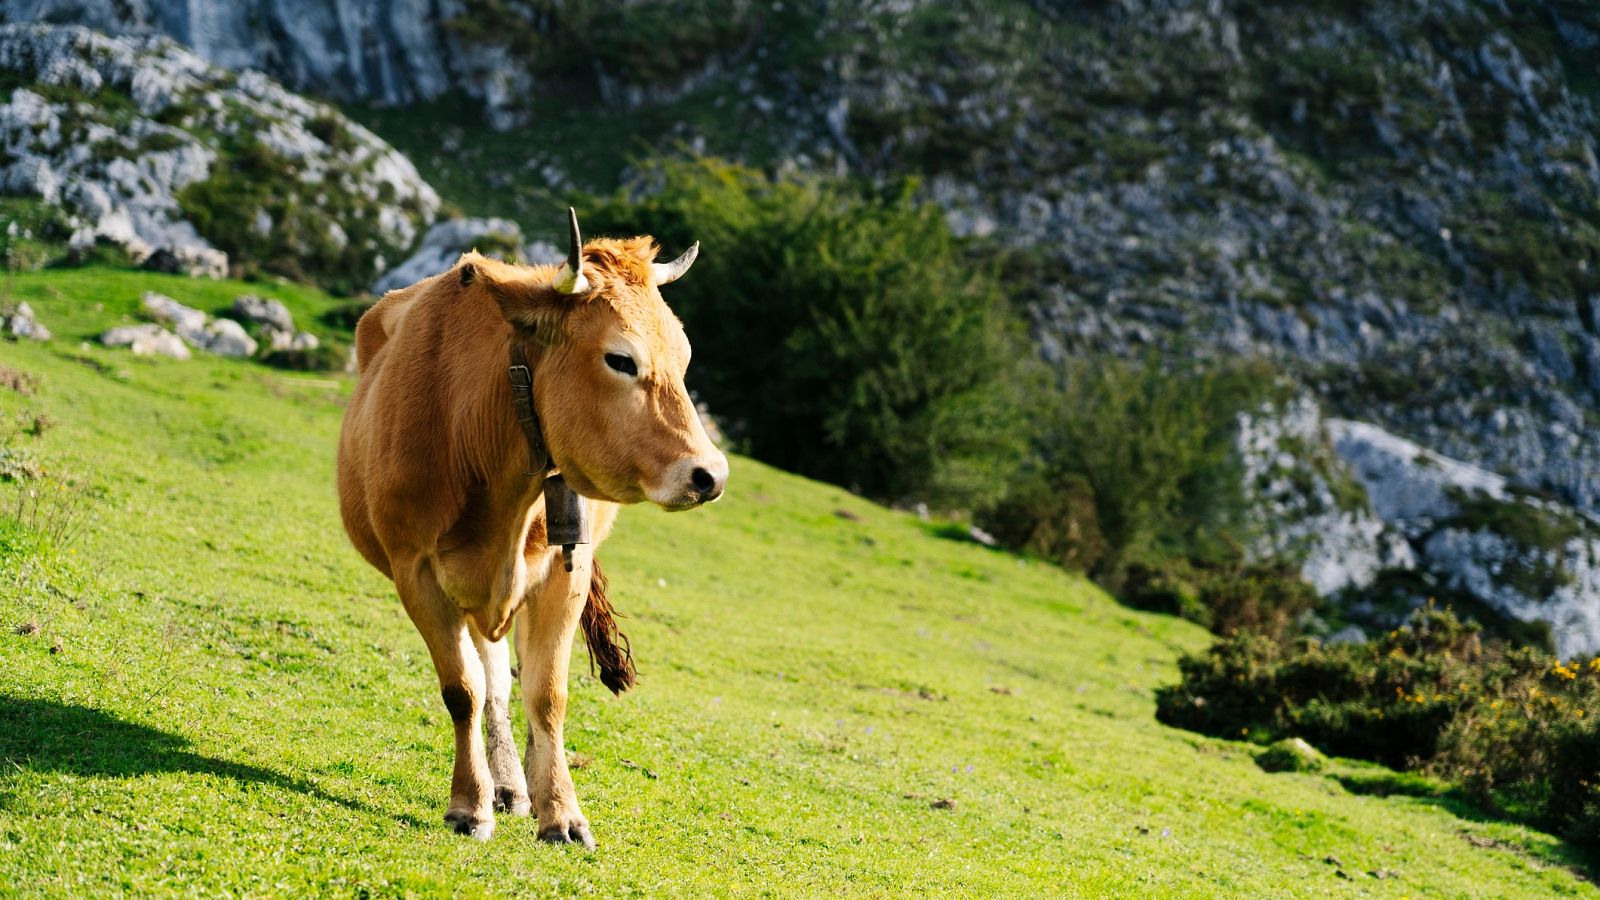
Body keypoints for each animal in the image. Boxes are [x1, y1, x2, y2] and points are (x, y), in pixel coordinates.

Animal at [337, 209, 728, 846]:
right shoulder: (414, 570)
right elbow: (463, 691)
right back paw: (503, 785)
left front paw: (562, 813)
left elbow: (547, 696)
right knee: (490, 682)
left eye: (685, 355)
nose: (710, 475)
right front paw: (469, 804)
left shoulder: (564, 570)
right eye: (621, 359)